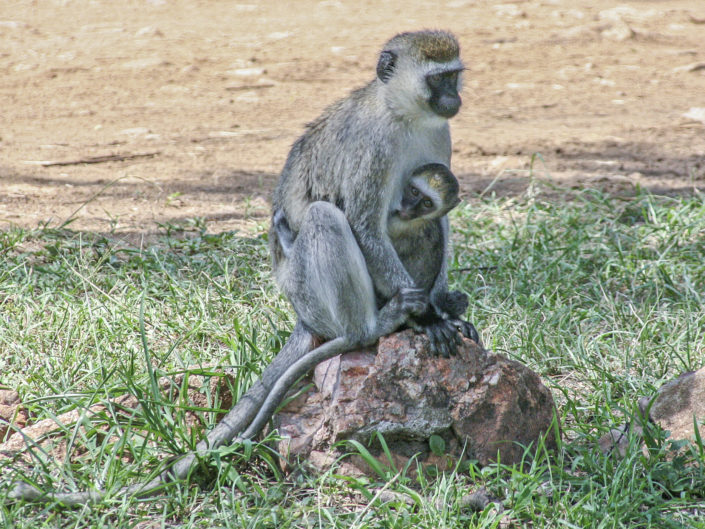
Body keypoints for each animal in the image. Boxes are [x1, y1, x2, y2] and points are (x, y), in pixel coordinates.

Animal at [8, 30, 474, 506]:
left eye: (453, 76)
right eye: (437, 79)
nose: (453, 98)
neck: (404, 114)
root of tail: (302, 314)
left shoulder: (440, 140)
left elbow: (442, 216)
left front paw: (442, 305)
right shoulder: (373, 149)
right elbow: (363, 224)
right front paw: (427, 318)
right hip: (308, 292)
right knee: (325, 219)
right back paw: (376, 325)